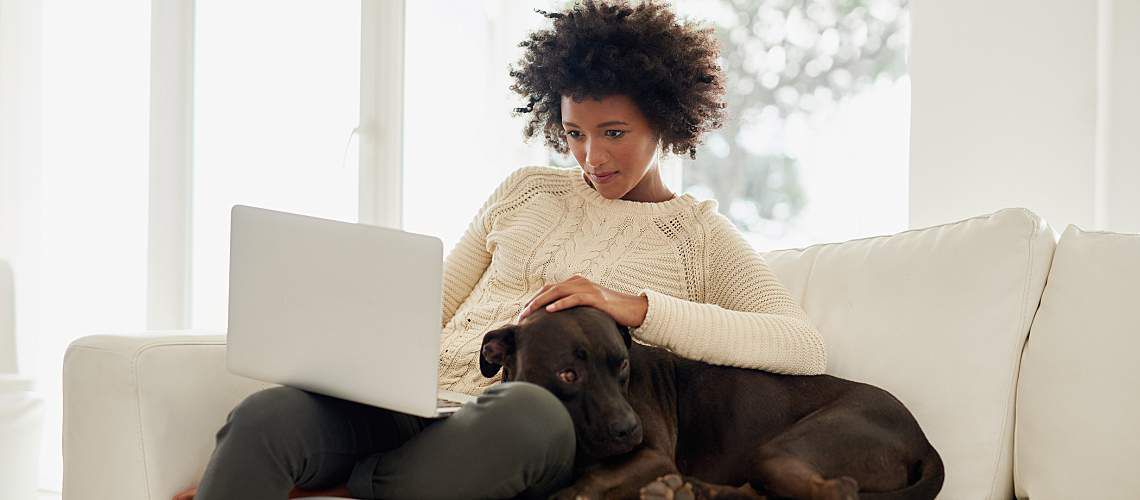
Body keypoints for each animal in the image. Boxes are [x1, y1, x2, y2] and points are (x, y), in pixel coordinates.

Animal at [481, 305, 943, 500]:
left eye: (622, 365)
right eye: (567, 374)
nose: (630, 430)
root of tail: (924, 440)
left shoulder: (652, 458)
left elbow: (590, 482)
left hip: (784, 447)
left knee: (835, 491)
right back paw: (693, 491)